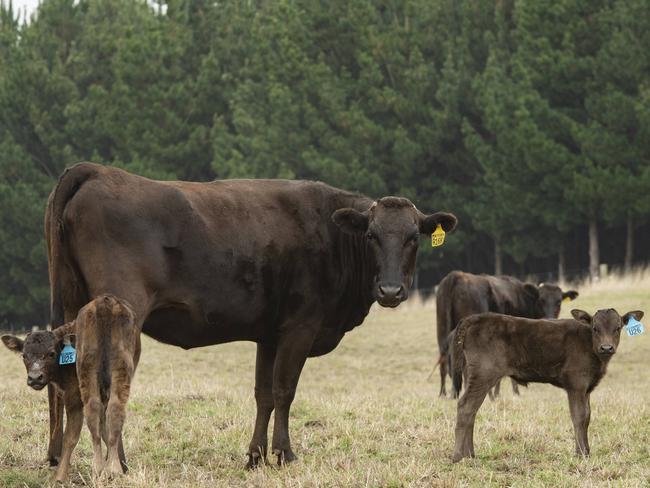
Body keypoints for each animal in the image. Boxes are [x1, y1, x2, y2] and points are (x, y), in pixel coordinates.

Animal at [1, 294, 139, 480]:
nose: (35, 377)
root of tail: (105, 302)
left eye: (51, 353)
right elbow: (105, 428)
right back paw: (113, 469)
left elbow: (71, 435)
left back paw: (97, 468)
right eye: (24, 355)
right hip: (120, 369)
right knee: (114, 409)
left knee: (91, 412)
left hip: (86, 373)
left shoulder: (72, 394)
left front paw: (59, 476)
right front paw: (117, 466)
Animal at [45, 162, 456, 468]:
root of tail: (97, 171)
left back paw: (60, 456)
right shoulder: (300, 327)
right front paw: (284, 454)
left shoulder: (270, 334)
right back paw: (118, 461)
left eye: (413, 238)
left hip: (71, 303)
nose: (390, 291)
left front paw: (256, 456)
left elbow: (264, 394)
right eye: (371, 236)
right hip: (120, 313)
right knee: (107, 382)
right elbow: (285, 390)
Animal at [432, 270, 576, 396]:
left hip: (442, 331)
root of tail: (456, 275)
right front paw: (512, 393)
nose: (550, 318)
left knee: (444, 362)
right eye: (541, 300)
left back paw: (444, 394)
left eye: (559, 302)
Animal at [448, 306, 640, 464]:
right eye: (595, 328)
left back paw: (470, 454)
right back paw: (457, 456)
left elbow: (587, 417)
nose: (606, 347)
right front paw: (580, 454)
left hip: (472, 374)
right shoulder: (576, 384)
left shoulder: (586, 388)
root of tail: (475, 318)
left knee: (472, 411)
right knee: (466, 407)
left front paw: (586, 451)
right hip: (483, 374)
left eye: (618, 328)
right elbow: (579, 416)